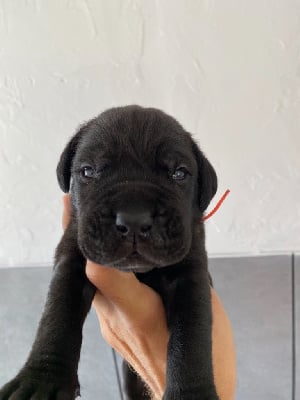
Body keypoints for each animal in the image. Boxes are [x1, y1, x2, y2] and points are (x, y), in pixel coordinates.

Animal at [1, 106, 219, 400]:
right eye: (88, 171)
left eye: (179, 174)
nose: (135, 217)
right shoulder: (72, 256)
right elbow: (57, 314)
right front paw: (42, 380)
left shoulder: (190, 275)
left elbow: (191, 336)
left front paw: (192, 395)